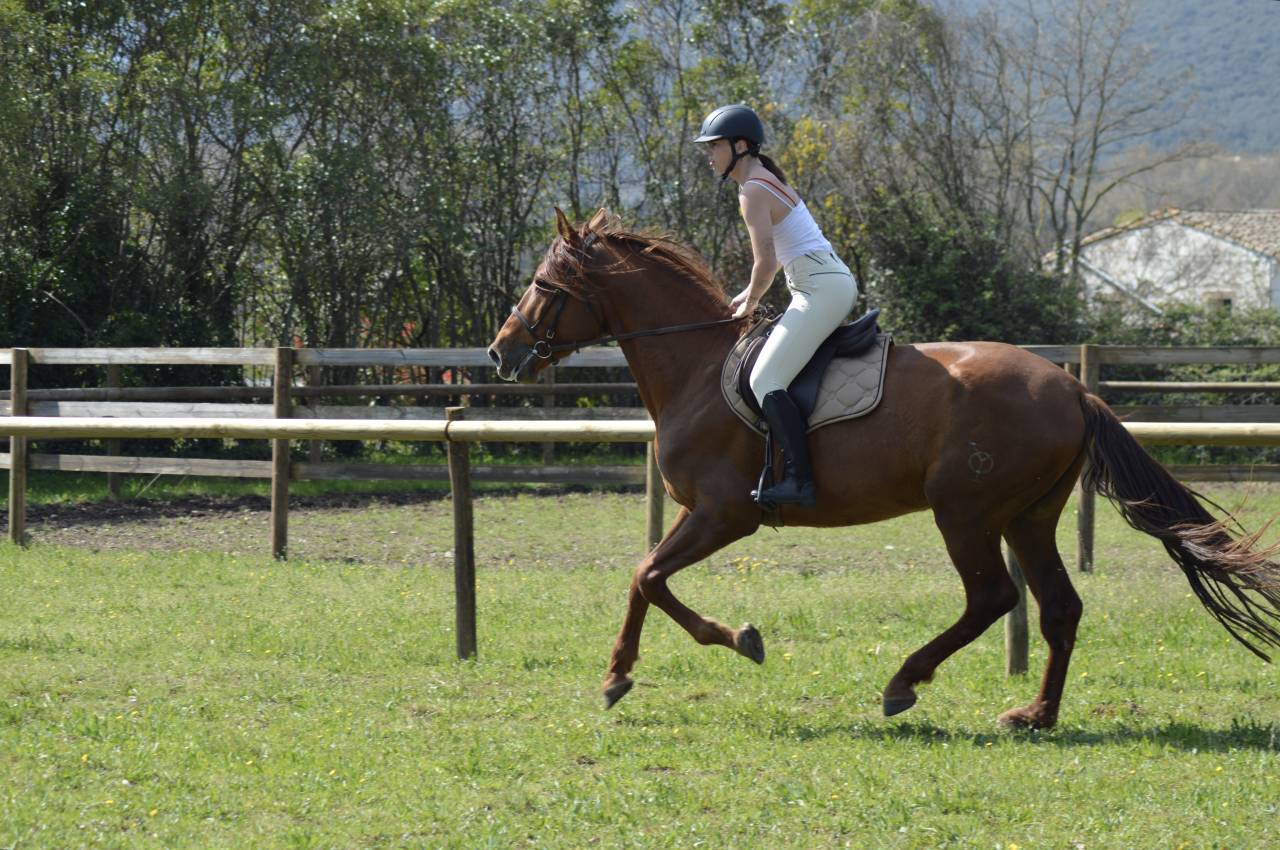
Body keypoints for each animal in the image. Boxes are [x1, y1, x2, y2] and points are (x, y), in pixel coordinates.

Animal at [486, 208, 1280, 729]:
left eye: (544, 285)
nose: (500, 351)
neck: (695, 367)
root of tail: (1073, 388)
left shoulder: (725, 515)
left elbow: (649, 575)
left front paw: (734, 641)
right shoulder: (696, 512)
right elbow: (642, 576)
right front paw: (619, 674)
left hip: (965, 511)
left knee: (993, 598)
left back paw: (904, 682)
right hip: (1029, 516)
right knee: (1058, 607)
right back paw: (1034, 714)